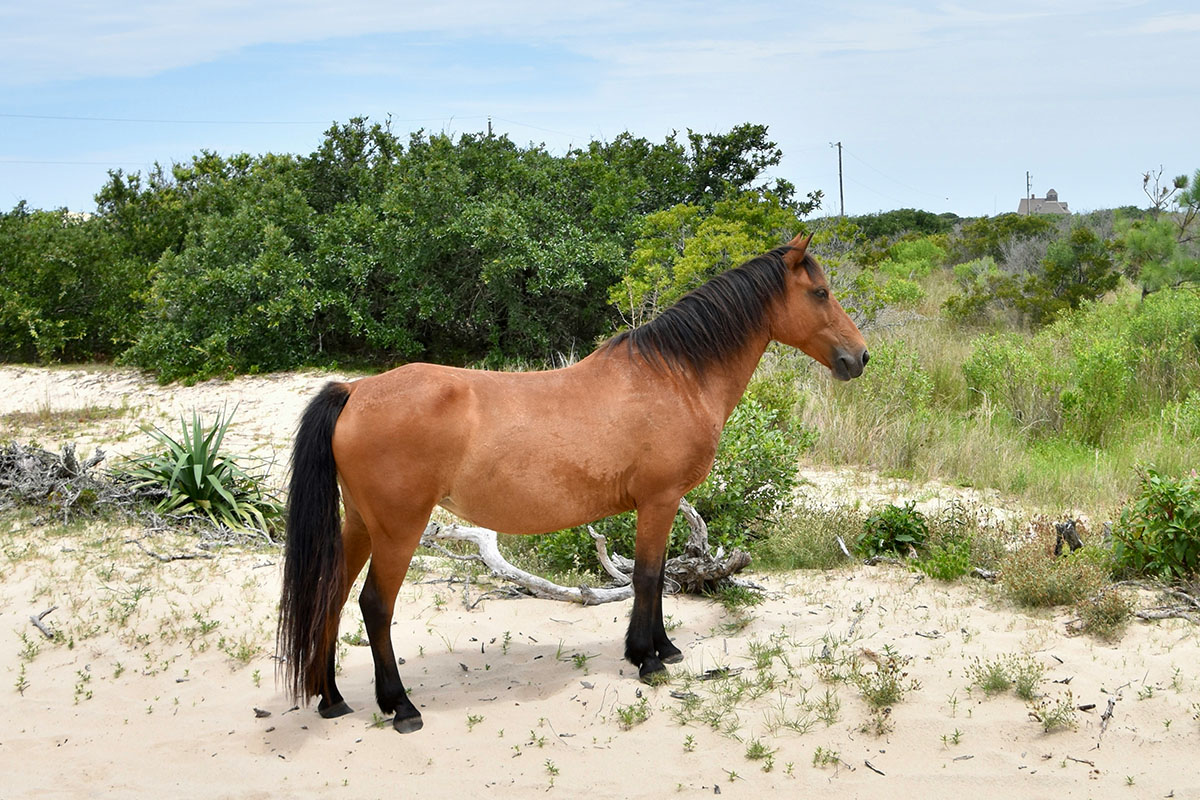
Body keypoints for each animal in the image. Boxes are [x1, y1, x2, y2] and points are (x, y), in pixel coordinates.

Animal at [277, 232, 868, 733]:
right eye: (820, 292)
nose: (859, 357)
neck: (674, 376)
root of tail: (355, 390)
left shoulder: (657, 505)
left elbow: (653, 577)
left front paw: (662, 649)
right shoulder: (659, 501)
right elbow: (648, 577)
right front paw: (648, 659)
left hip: (360, 524)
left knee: (331, 596)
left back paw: (332, 699)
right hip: (399, 530)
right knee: (375, 606)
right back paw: (400, 706)